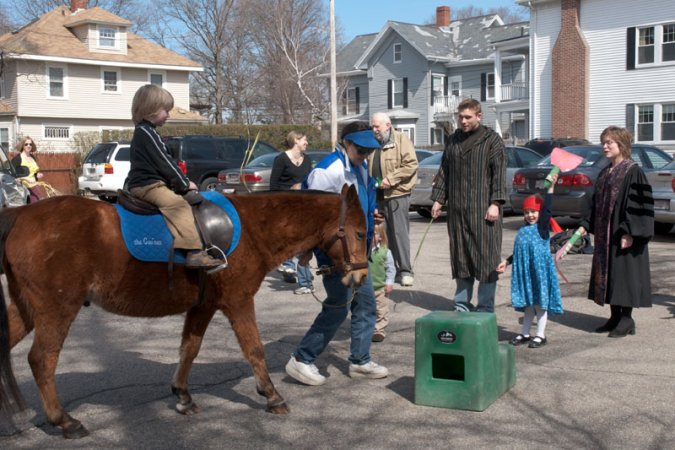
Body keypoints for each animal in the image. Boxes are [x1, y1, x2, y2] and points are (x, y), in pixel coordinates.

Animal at [0, 185, 370, 438]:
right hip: (57, 308)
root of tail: (21, 215)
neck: (252, 228)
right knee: (42, 360)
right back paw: (63, 420)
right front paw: (271, 395)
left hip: (28, 309)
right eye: (361, 232)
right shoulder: (238, 301)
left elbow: (188, 350)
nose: (362, 275)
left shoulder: (203, 306)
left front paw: (182, 396)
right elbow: (254, 349)